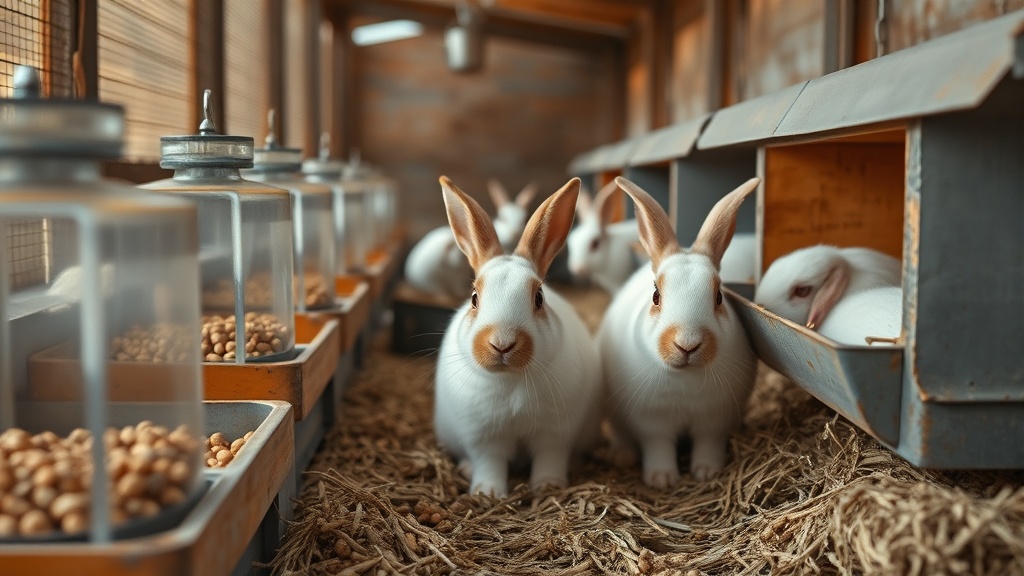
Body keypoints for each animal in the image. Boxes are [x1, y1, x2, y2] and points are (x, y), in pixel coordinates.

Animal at [433, 175, 603, 497]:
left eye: (539, 298)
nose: (502, 343)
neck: (511, 379)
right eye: (474, 298)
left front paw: (548, 485)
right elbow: (489, 463)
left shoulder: (555, 432)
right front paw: (487, 493)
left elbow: (549, 458)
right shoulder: (483, 437)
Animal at [598, 176, 761, 489]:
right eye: (656, 296)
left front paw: (707, 472)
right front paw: (662, 479)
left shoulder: (714, 421)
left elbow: (707, 445)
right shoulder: (652, 422)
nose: (687, 345)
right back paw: (622, 457)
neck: (684, 379)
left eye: (719, 297)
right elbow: (658, 448)